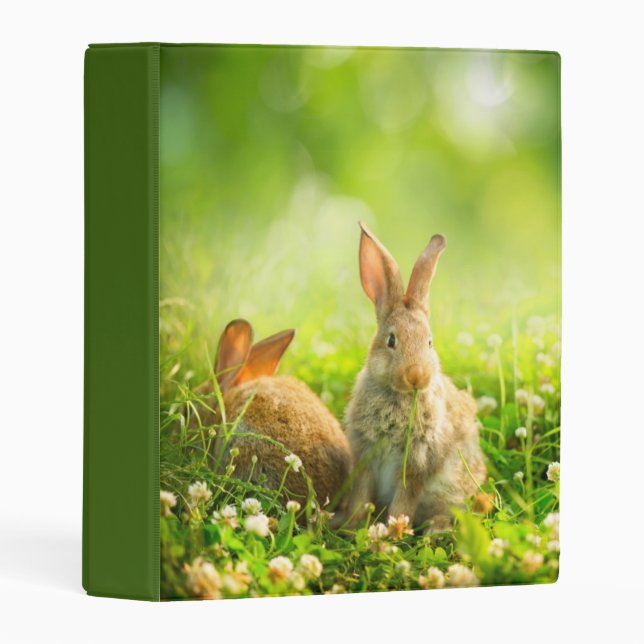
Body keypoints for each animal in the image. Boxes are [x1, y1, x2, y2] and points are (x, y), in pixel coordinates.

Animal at [344, 222, 487, 532]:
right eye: (391, 340)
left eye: (429, 342)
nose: (416, 376)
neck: (400, 396)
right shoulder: (365, 454)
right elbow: (360, 494)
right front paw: (350, 523)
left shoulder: (417, 464)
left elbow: (404, 501)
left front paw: (393, 531)